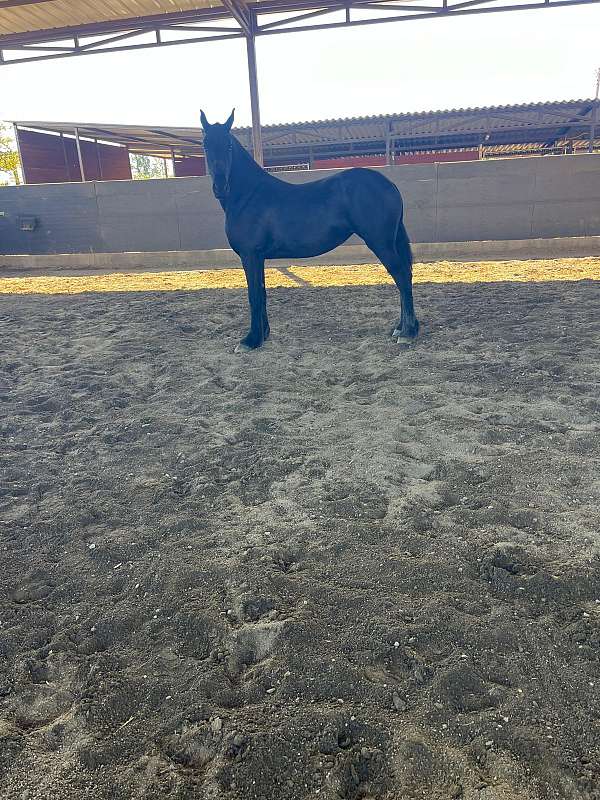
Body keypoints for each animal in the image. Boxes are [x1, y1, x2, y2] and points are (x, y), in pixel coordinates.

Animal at [200, 109, 419, 352]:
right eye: (205, 144)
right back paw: (401, 328)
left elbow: (254, 296)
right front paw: (263, 335)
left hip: (380, 242)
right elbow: (262, 293)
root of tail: (389, 184)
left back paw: (407, 333)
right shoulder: (259, 257)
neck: (249, 195)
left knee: (402, 275)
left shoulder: (250, 255)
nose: (221, 187)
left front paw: (250, 340)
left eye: (228, 145)